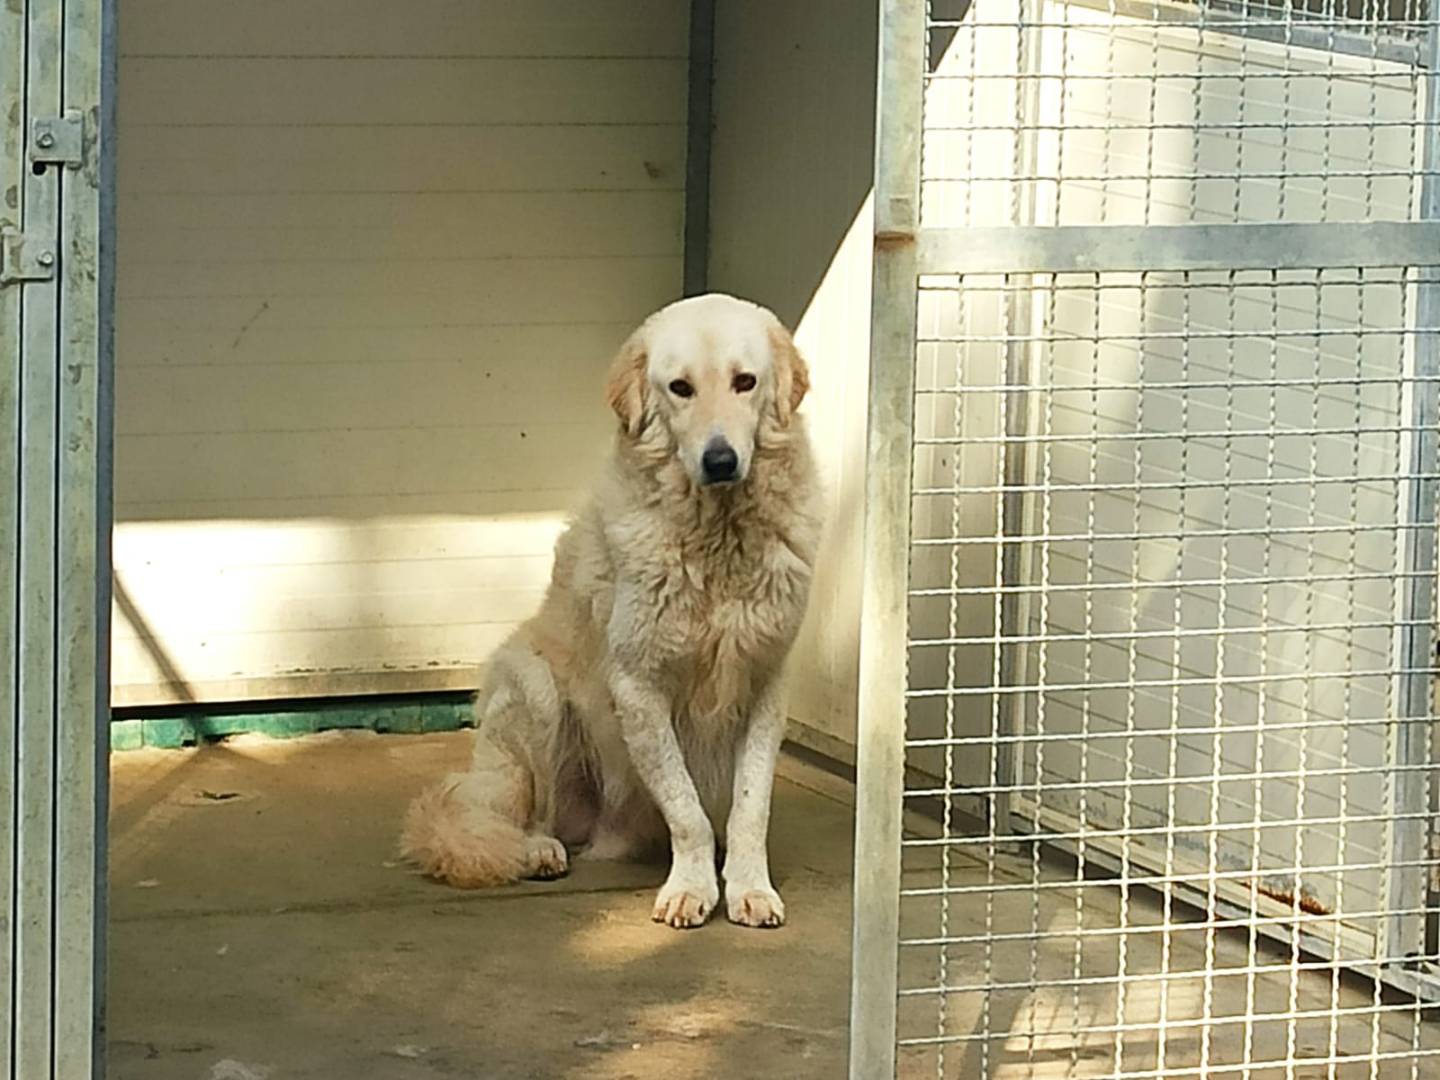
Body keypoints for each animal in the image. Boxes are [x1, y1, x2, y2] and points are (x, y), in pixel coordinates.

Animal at [403, 296, 823, 933]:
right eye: (680, 388)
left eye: (745, 382)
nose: (720, 460)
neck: (717, 537)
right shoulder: (639, 687)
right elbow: (688, 813)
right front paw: (691, 889)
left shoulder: (765, 682)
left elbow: (750, 808)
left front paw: (750, 887)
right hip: (535, 692)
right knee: (524, 815)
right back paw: (538, 850)